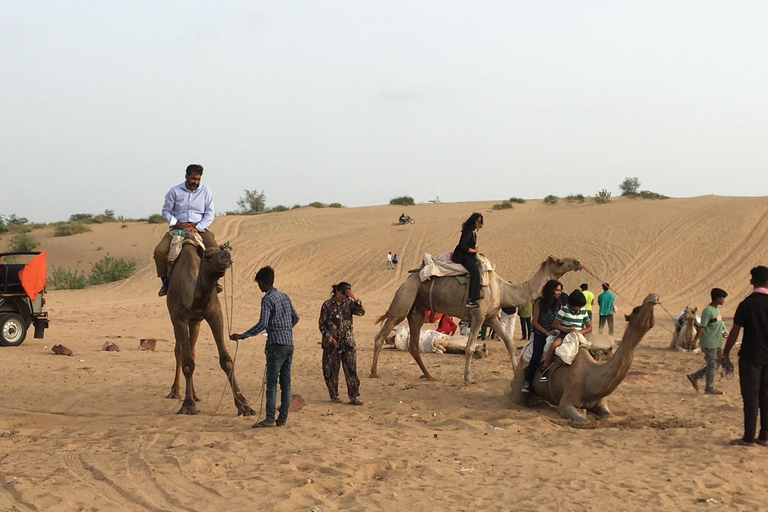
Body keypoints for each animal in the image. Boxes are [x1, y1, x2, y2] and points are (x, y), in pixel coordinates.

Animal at [372, 254, 584, 382]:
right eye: (560, 261)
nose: (577, 262)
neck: (503, 289)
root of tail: (408, 279)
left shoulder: (491, 317)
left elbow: (508, 342)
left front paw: (516, 372)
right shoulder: (478, 315)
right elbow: (470, 347)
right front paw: (467, 378)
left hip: (417, 310)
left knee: (414, 345)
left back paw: (429, 376)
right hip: (405, 298)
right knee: (381, 335)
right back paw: (373, 372)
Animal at [510, 294, 660, 422]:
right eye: (636, 309)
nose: (653, 297)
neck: (591, 378)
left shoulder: (601, 404)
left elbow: (609, 416)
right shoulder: (566, 402)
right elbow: (582, 419)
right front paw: (583, 412)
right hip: (521, 376)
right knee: (519, 396)